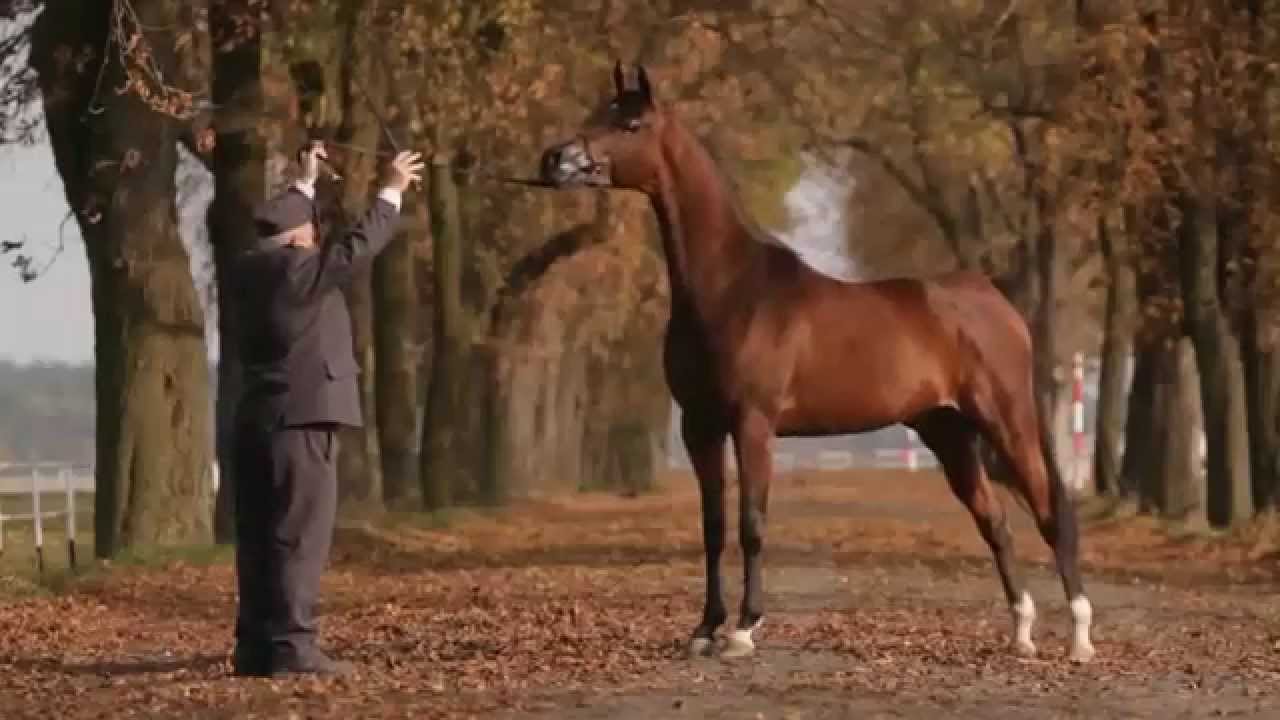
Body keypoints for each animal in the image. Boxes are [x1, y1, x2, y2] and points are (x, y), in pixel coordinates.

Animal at [537, 62, 1095, 664]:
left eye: (631, 124)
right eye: (599, 111)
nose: (556, 160)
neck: (731, 288)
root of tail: (996, 301)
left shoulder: (753, 423)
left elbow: (752, 523)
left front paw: (743, 630)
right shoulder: (699, 426)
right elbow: (713, 526)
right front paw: (704, 628)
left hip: (1006, 421)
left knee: (1051, 515)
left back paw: (1080, 639)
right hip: (948, 432)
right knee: (995, 522)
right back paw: (1022, 634)